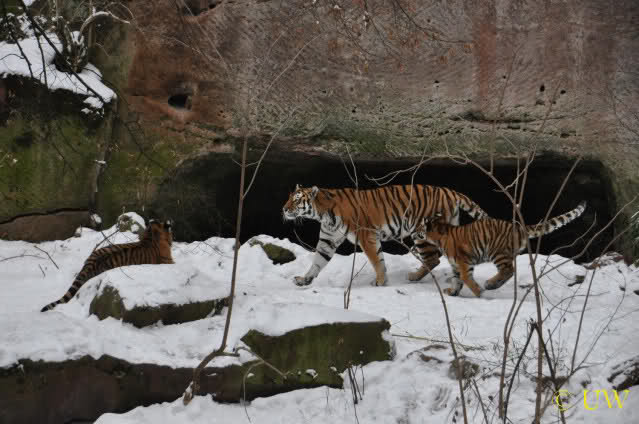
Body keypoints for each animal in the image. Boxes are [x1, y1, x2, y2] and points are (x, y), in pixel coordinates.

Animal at [282, 184, 488, 287]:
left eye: (297, 200)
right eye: (289, 197)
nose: (283, 209)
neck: (323, 214)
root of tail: (450, 191)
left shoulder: (366, 236)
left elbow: (376, 260)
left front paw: (381, 281)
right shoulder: (328, 239)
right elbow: (317, 262)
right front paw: (304, 279)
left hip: (421, 233)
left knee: (433, 259)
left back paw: (414, 277)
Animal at [411, 201, 587, 297]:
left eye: (420, 226)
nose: (414, 232)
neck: (439, 236)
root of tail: (518, 227)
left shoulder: (464, 262)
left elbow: (467, 279)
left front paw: (479, 293)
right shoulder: (456, 265)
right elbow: (457, 280)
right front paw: (452, 292)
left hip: (497, 252)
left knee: (509, 270)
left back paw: (489, 284)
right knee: (509, 271)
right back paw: (493, 284)